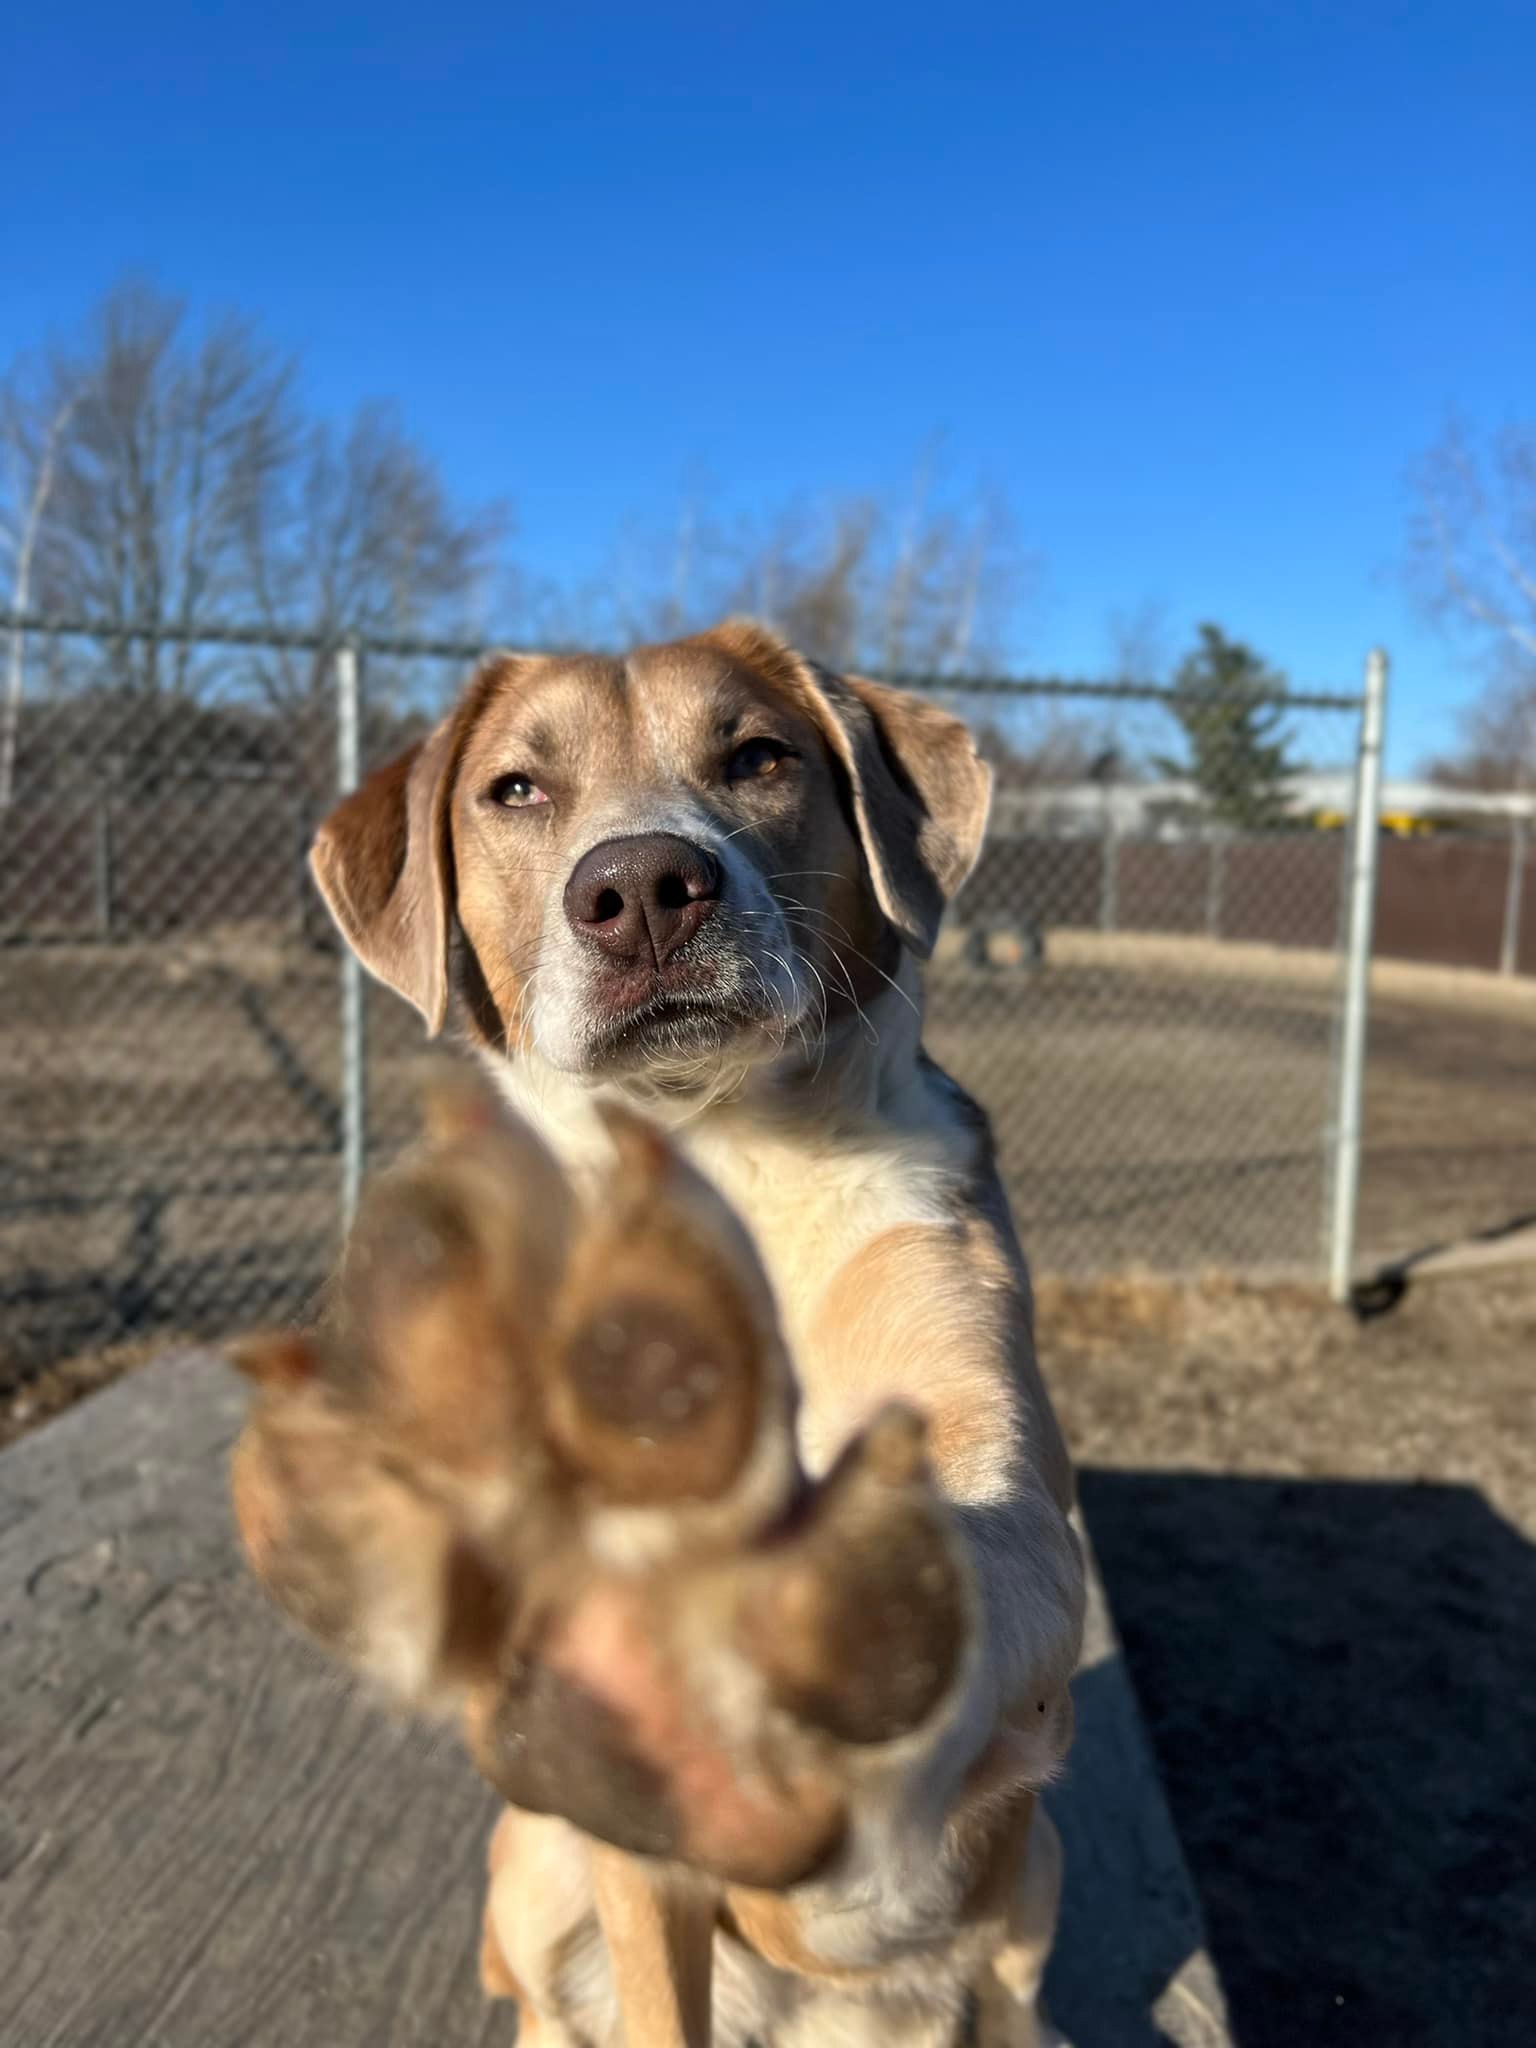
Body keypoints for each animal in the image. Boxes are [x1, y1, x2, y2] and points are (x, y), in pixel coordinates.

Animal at [229, 619, 1086, 2046]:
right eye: (516, 789)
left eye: (759, 756)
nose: (641, 885)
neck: (719, 1145)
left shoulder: (1009, 1480)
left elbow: (960, 1549)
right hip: (533, 1868)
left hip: (1032, 1885)